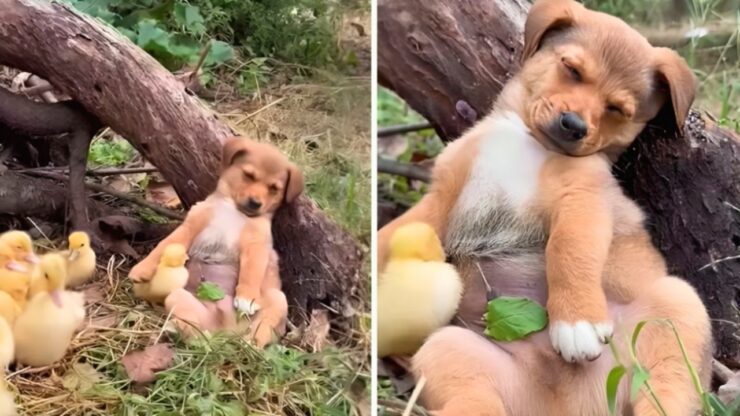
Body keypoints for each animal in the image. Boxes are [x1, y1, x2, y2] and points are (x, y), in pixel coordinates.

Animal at [128, 137, 304, 348]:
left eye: (274, 189)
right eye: (248, 175)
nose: (255, 203)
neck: (233, 210)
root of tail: (229, 331)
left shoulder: (256, 245)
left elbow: (251, 273)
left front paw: (246, 298)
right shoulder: (190, 226)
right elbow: (164, 245)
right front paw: (142, 269)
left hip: (277, 299)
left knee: (261, 332)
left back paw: (250, 343)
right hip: (178, 297)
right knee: (197, 334)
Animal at [378, 1, 712, 414]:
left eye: (617, 109)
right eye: (572, 69)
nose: (573, 125)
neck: (528, 140)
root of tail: (570, 407)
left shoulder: (581, 200)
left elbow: (567, 252)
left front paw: (576, 322)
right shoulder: (444, 195)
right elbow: (393, 232)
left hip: (677, 307)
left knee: (666, 391)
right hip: (448, 347)